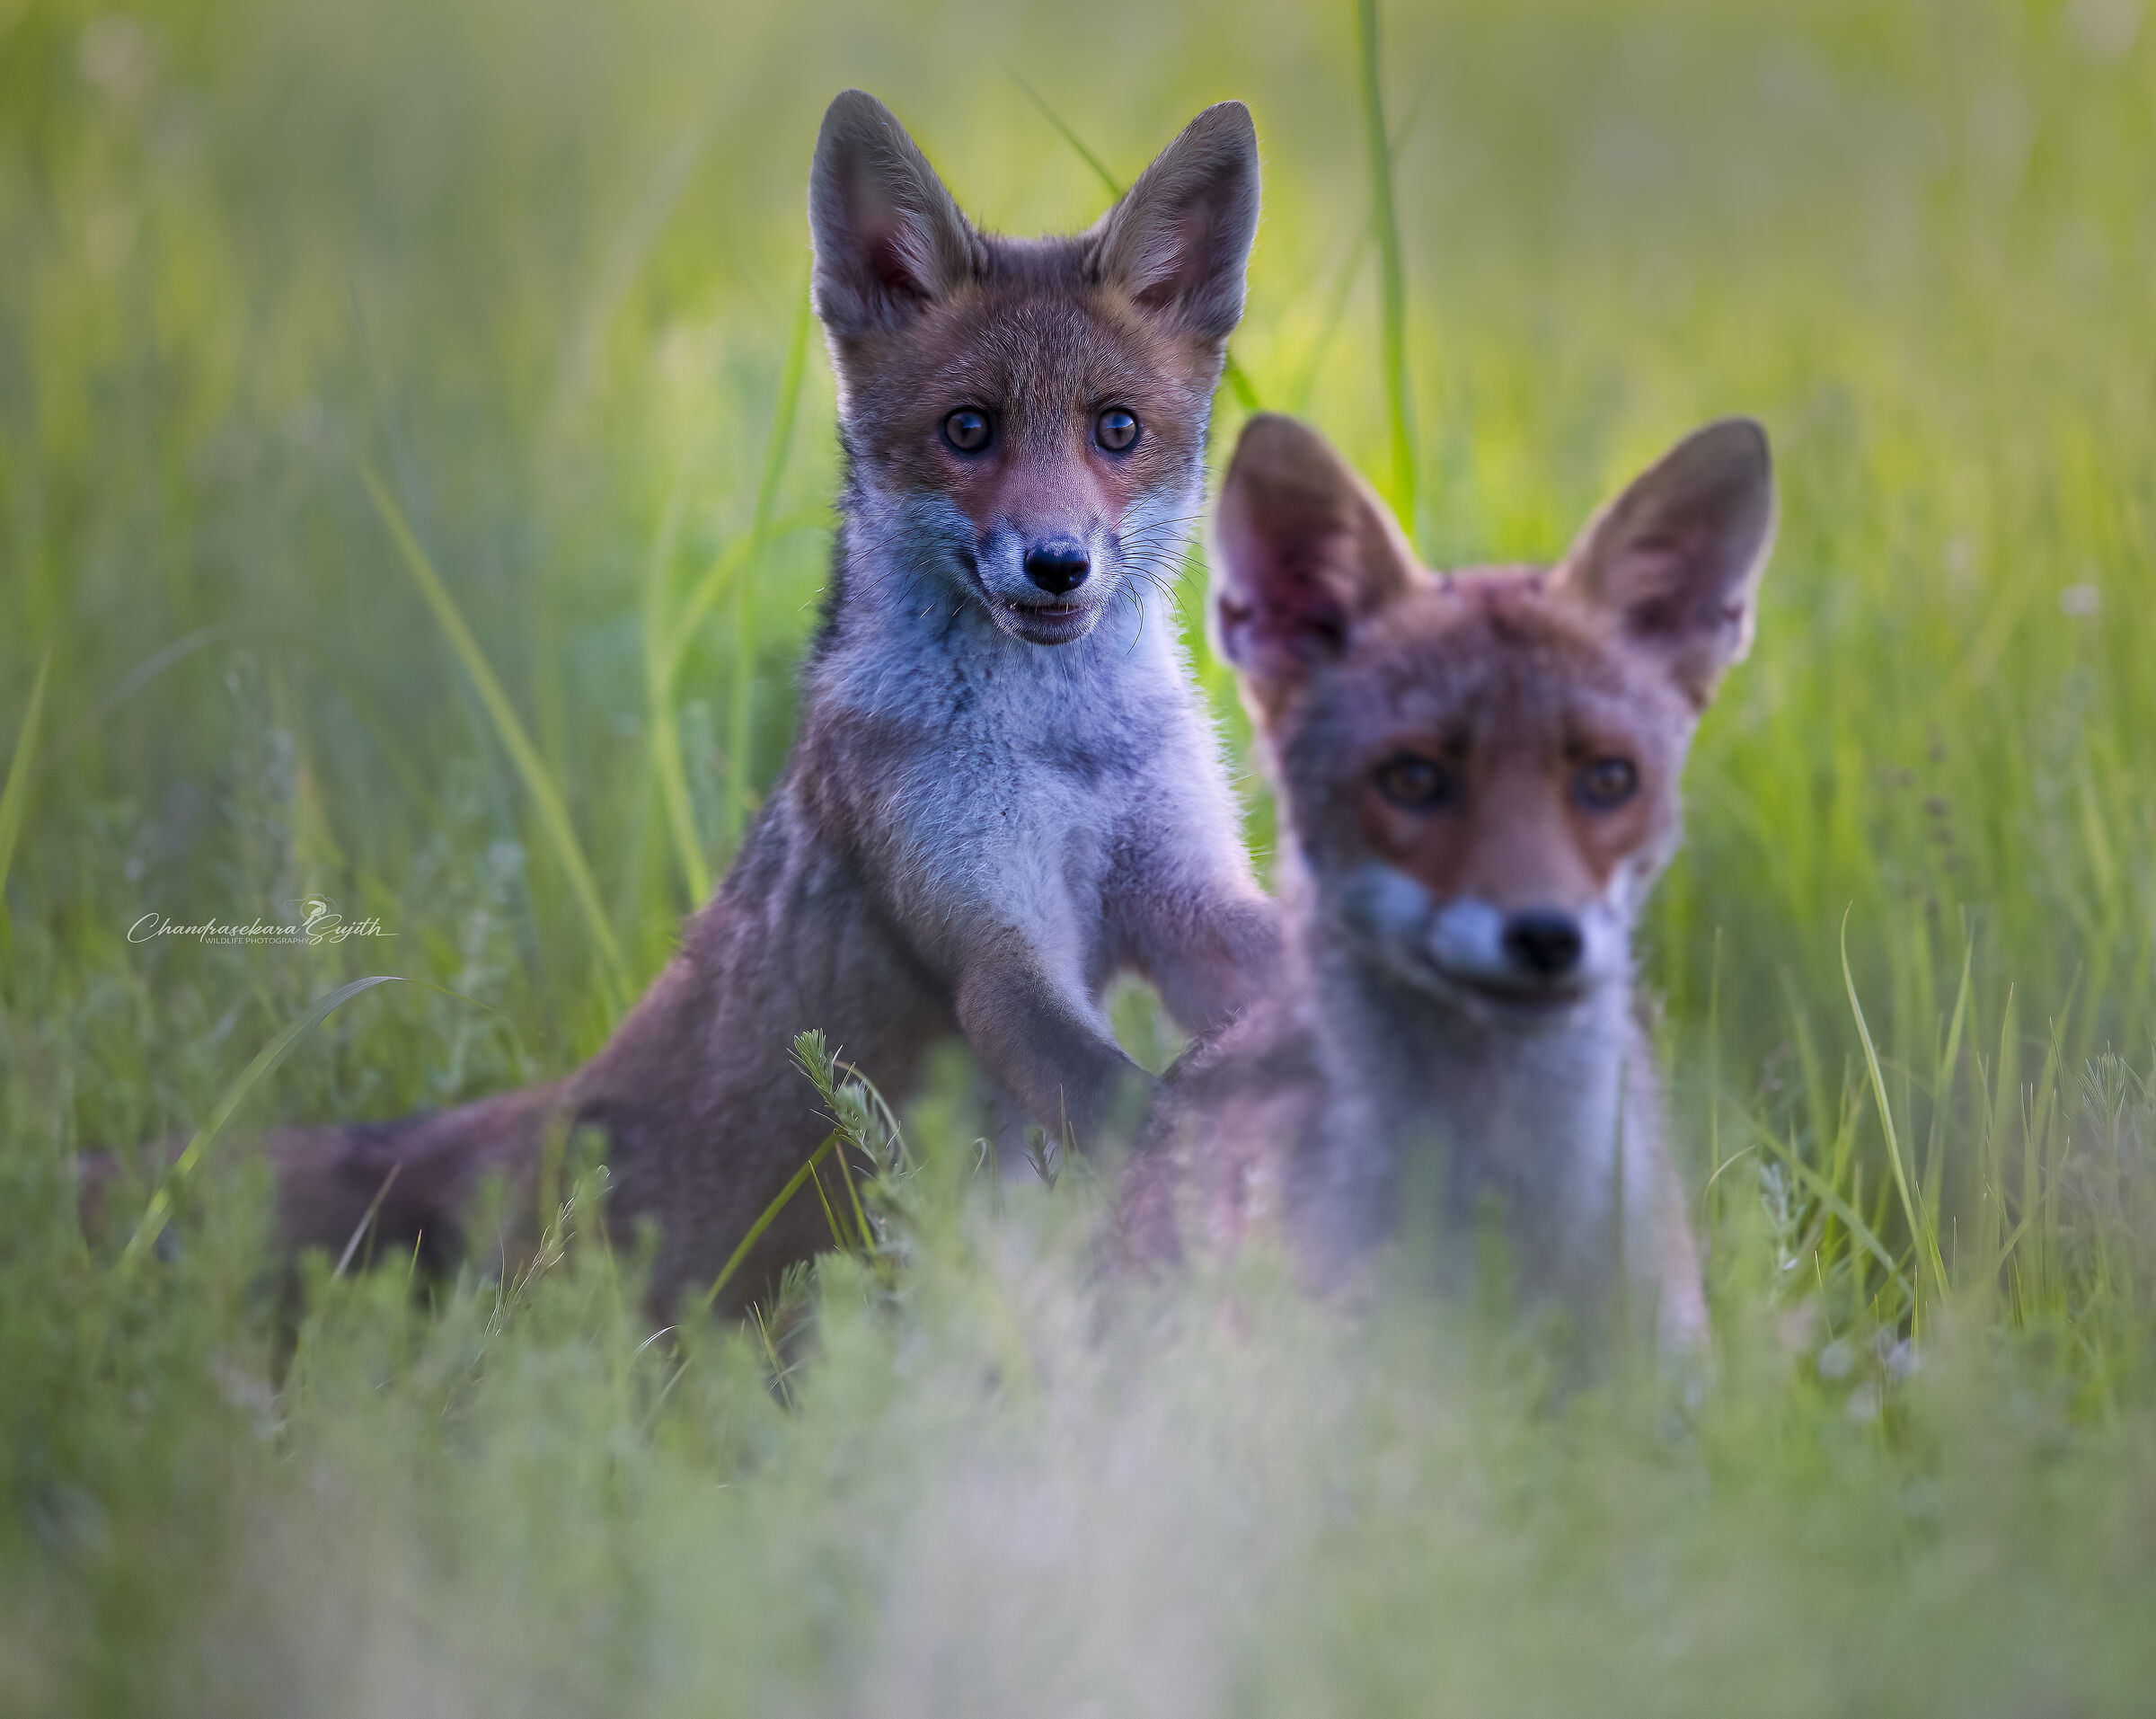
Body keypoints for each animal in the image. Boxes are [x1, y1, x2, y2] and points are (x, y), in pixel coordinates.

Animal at [264, 91, 1280, 1319]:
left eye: (1116, 428)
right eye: (970, 429)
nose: (1056, 566)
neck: (1066, 747)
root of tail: (551, 1104)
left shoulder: (1182, 886)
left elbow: (1276, 953)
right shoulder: (989, 940)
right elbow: (1123, 1098)